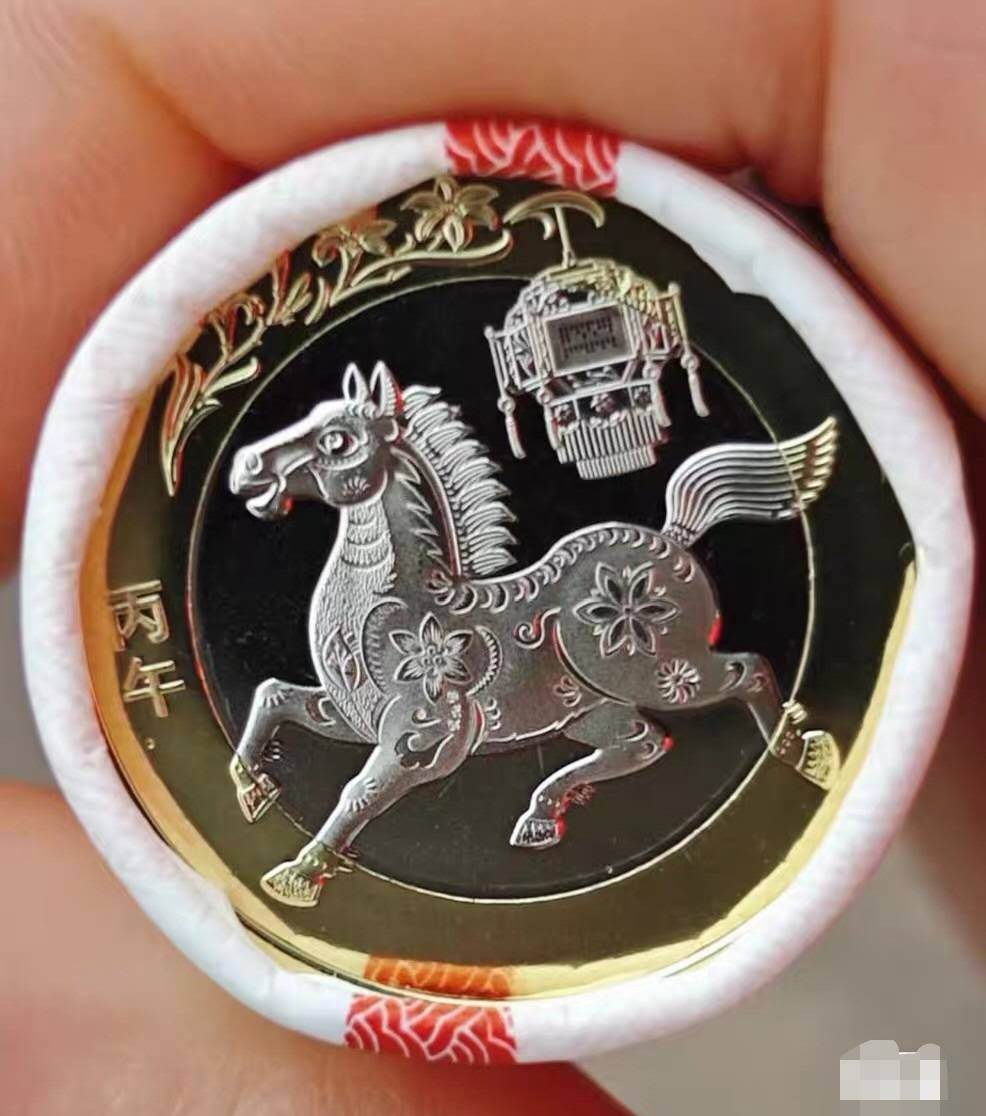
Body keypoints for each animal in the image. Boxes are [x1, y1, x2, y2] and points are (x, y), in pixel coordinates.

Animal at [227, 361, 839, 908]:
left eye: (337, 439)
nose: (245, 467)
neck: (399, 605)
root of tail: (675, 537)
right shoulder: (353, 715)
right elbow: (274, 696)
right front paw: (250, 789)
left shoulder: (423, 736)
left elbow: (359, 792)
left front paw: (298, 876)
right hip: (591, 709)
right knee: (643, 742)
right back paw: (541, 817)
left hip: (661, 672)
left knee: (748, 670)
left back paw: (806, 754)